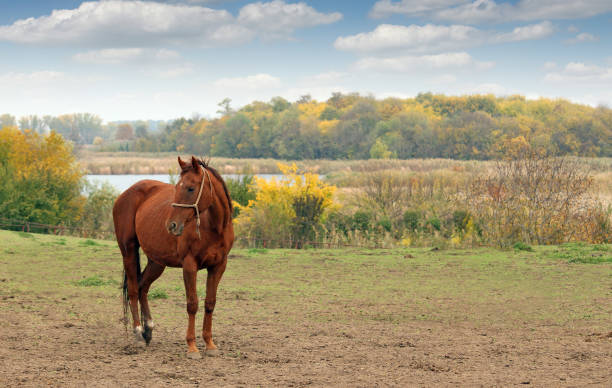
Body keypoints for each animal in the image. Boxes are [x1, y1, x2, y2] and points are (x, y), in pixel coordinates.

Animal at [111, 155, 233, 358]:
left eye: (190, 188)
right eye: (177, 187)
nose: (172, 225)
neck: (213, 226)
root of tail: (125, 194)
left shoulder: (218, 266)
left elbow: (210, 303)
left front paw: (209, 344)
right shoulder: (190, 265)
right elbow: (192, 304)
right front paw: (192, 347)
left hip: (156, 262)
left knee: (143, 287)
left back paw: (148, 330)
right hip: (128, 251)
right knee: (134, 290)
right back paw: (138, 333)